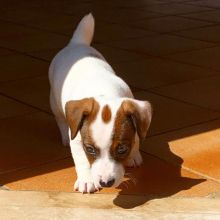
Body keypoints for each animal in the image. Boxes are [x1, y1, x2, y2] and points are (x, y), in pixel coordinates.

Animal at [49, 13, 152, 192]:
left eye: (122, 149)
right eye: (90, 149)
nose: (106, 183)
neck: (105, 92)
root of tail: (77, 43)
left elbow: (137, 138)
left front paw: (133, 155)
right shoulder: (77, 139)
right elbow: (81, 160)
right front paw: (86, 180)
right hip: (55, 102)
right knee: (61, 119)